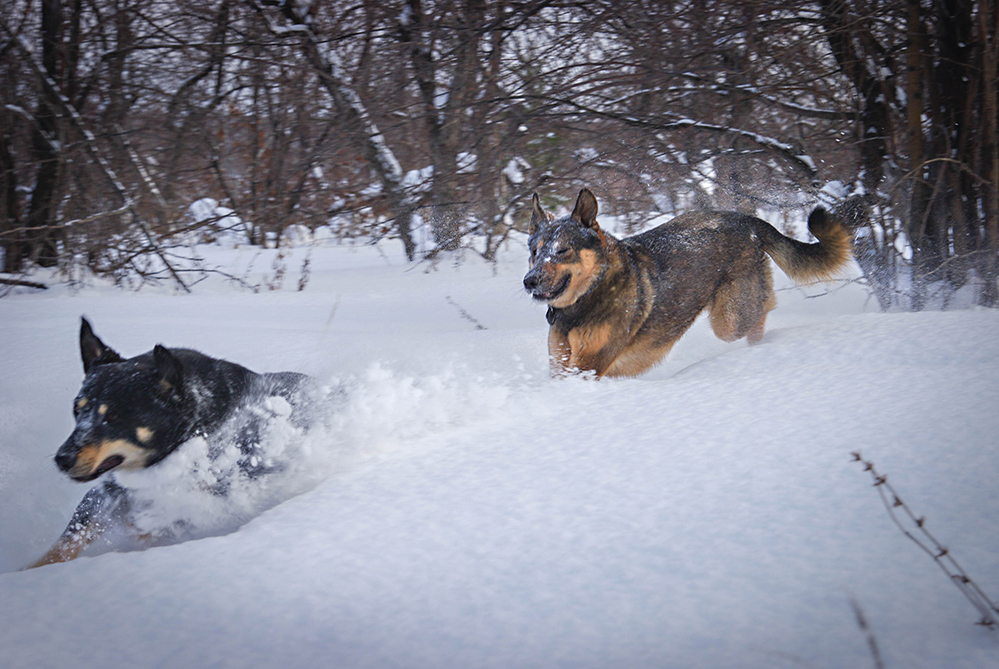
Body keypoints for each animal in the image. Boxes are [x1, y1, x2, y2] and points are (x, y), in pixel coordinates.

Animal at [524, 188, 852, 376]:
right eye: (534, 251)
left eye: (562, 250)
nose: (529, 281)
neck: (589, 297)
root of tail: (747, 220)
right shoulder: (561, 362)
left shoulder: (589, 365)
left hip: (729, 319)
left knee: (760, 313)